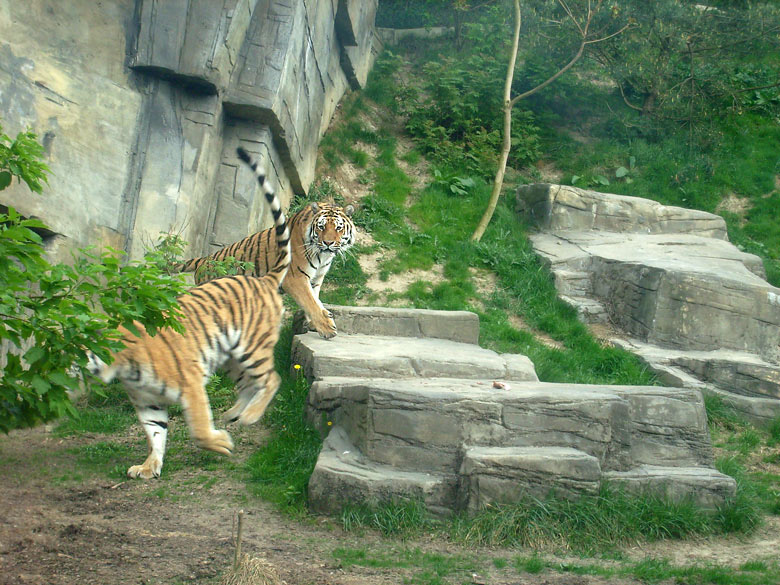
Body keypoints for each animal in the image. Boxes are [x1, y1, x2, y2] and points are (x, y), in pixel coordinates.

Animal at [84, 147, 290, 480]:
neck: (124, 367)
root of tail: (264, 279)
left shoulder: (190, 383)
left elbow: (199, 430)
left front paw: (220, 444)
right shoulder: (149, 403)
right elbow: (155, 434)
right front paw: (149, 467)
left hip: (251, 347)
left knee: (272, 379)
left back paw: (249, 417)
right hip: (230, 358)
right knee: (249, 384)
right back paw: (234, 414)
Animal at [175, 185, 354, 340]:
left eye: (338, 228)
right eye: (321, 227)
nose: (328, 243)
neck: (322, 256)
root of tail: (204, 259)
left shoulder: (316, 278)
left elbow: (315, 299)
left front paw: (313, 323)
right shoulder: (295, 278)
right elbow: (310, 302)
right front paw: (327, 328)